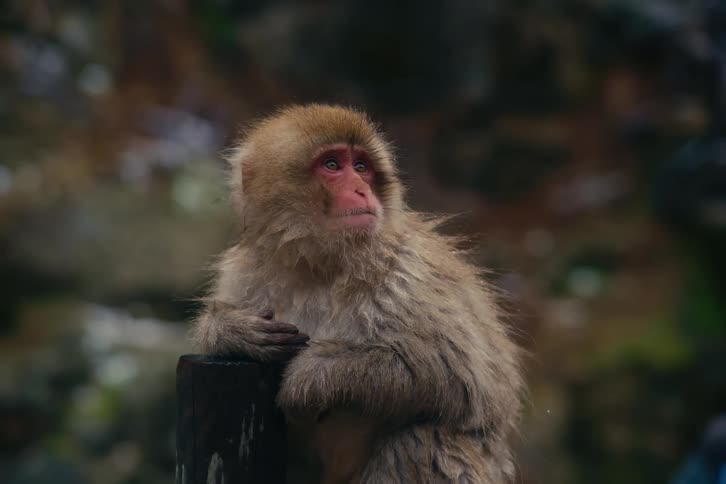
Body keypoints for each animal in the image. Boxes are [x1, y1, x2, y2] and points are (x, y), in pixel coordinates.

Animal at [191, 104, 523, 483]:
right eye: (332, 165)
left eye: (362, 167)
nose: (363, 190)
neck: (319, 266)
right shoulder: (243, 272)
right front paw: (230, 330)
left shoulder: (408, 275)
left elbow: (456, 379)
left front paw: (313, 375)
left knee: (419, 438)